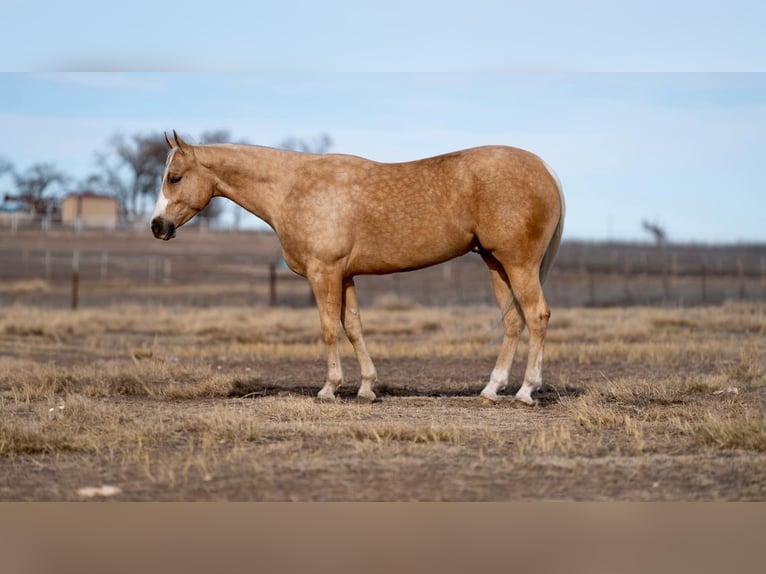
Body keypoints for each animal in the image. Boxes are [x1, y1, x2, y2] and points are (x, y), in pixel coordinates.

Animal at [151, 131, 565, 405]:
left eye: (175, 177)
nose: (157, 226)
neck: (293, 187)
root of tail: (545, 168)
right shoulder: (346, 275)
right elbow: (353, 328)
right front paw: (367, 387)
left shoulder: (324, 272)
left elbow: (329, 329)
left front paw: (329, 388)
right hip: (496, 263)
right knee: (513, 321)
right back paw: (491, 390)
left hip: (518, 263)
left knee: (537, 315)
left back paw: (526, 391)